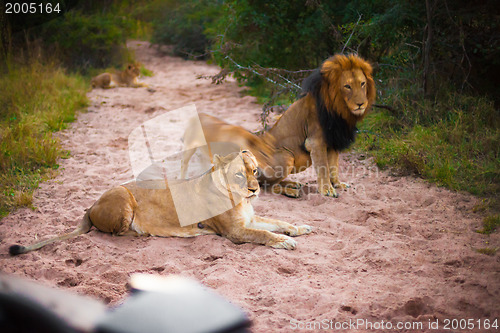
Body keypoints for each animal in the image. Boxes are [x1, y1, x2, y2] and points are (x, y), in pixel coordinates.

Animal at [9, 150, 310, 254]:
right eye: (239, 174)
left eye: (254, 171)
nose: (254, 189)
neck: (239, 200)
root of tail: (91, 205)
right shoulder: (235, 231)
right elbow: (263, 235)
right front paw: (284, 241)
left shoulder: (250, 218)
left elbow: (277, 221)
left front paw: (300, 228)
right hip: (123, 197)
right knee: (115, 232)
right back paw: (142, 232)